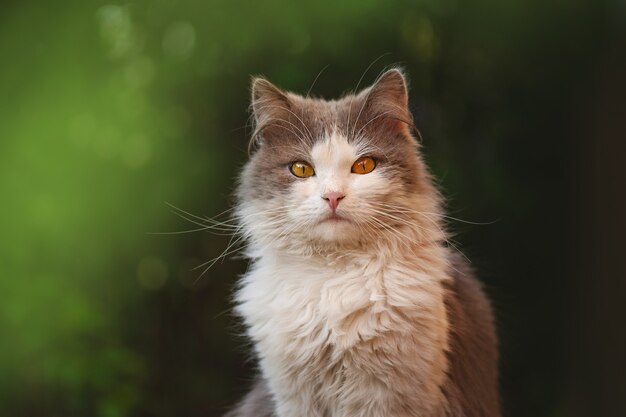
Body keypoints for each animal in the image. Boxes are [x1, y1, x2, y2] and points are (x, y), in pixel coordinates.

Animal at [224, 68, 498, 416]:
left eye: (364, 166)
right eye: (301, 169)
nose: (332, 196)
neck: (334, 275)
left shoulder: (387, 396)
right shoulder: (294, 396)